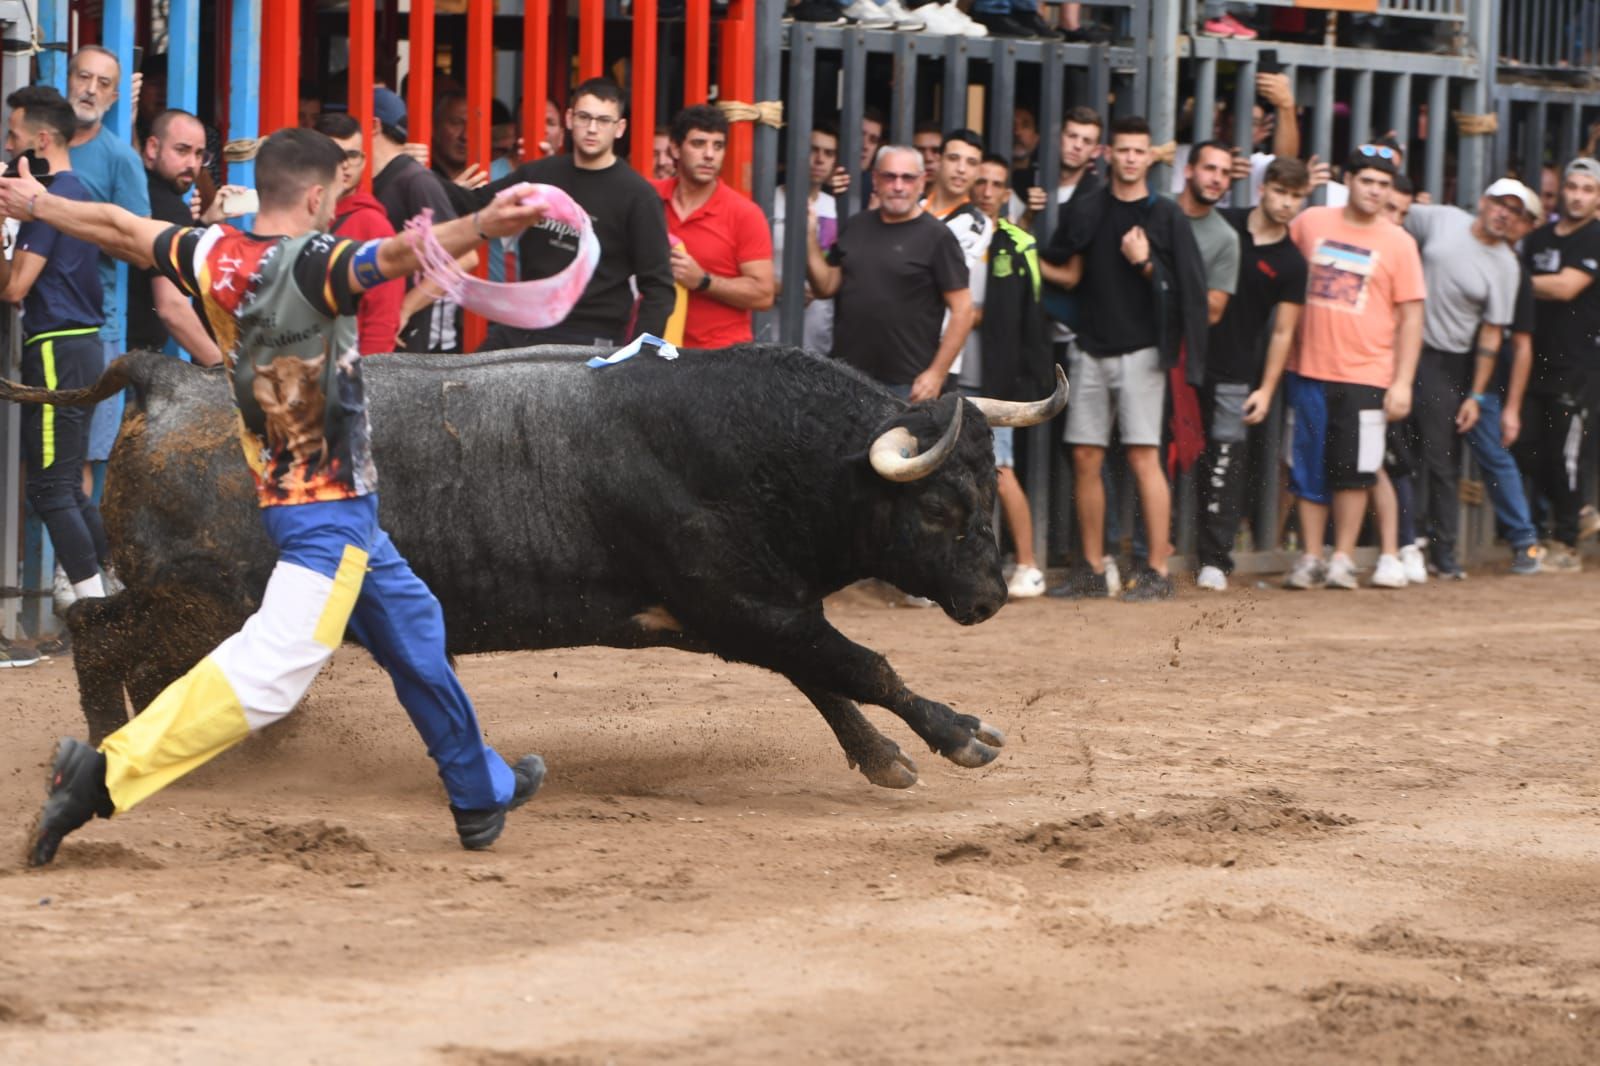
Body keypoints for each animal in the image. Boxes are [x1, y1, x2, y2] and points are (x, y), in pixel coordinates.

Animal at [6, 344, 1068, 784]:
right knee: (95, 631)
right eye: (942, 507)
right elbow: (861, 664)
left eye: (989, 488)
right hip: (202, 599)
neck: (765, 445)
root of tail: (169, 378)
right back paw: (112, 752)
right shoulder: (745, 605)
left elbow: (826, 678)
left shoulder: (747, 614)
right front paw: (960, 734)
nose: (987, 598)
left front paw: (884, 757)